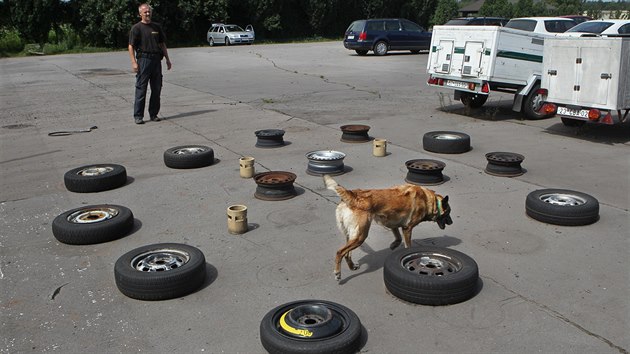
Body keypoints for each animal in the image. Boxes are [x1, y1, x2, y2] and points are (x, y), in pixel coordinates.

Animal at [324, 174, 452, 280]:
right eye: (449, 212)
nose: (451, 222)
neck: (428, 200)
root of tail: (353, 195)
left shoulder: (393, 224)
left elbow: (398, 238)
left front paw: (393, 245)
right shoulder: (407, 228)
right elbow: (408, 245)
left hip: (352, 235)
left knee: (347, 254)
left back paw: (351, 266)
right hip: (360, 236)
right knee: (340, 252)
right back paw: (337, 273)